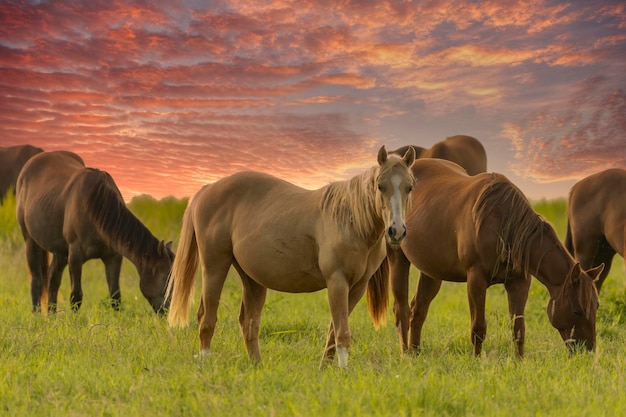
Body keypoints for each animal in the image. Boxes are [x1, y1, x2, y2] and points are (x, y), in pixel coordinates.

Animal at [17, 151, 173, 314]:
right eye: (166, 280)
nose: (171, 314)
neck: (96, 208)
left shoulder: (113, 257)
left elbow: (115, 296)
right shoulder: (75, 257)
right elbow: (76, 296)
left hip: (60, 251)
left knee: (53, 279)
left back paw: (52, 315)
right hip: (31, 241)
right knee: (37, 279)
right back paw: (37, 314)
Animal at [166, 146, 414, 368]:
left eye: (410, 187)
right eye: (380, 185)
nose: (397, 231)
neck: (350, 219)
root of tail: (208, 189)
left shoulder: (357, 288)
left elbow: (333, 332)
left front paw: (325, 370)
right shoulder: (337, 282)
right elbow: (342, 333)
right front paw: (343, 372)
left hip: (252, 280)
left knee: (248, 323)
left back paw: (257, 366)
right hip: (214, 266)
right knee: (207, 317)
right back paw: (205, 362)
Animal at [382, 158, 604, 356]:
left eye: (596, 306)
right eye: (577, 311)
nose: (588, 351)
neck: (504, 225)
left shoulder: (519, 282)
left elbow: (518, 329)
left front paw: (519, 363)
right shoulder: (476, 280)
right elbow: (478, 328)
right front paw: (477, 362)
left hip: (431, 271)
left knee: (418, 309)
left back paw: (416, 352)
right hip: (398, 257)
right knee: (401, 310)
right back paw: (406, 354)